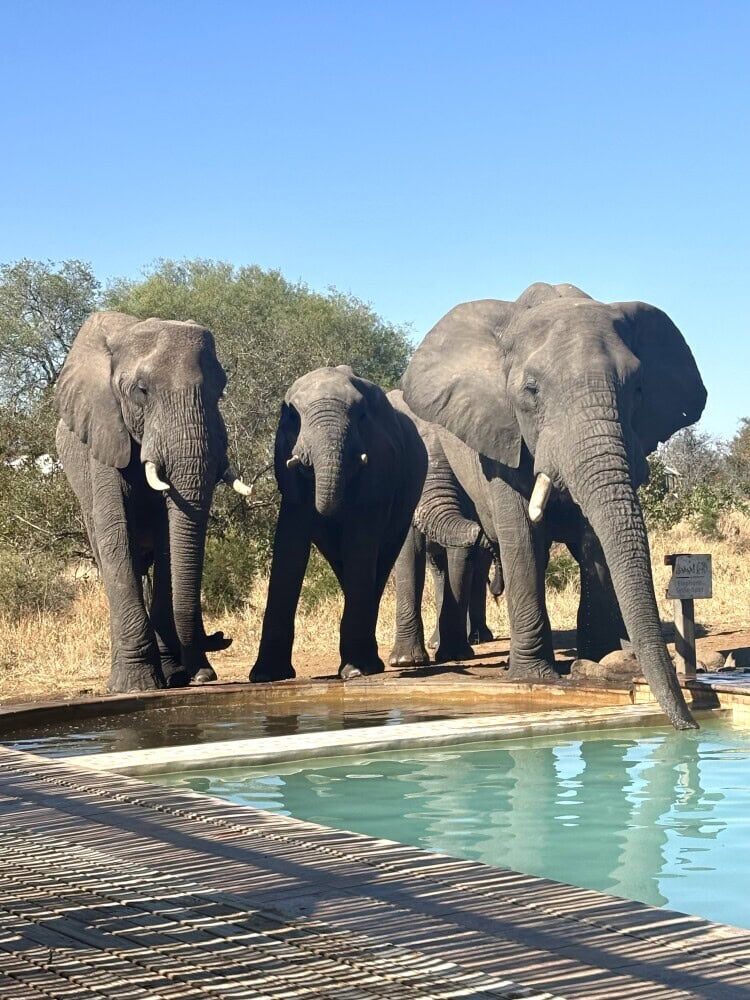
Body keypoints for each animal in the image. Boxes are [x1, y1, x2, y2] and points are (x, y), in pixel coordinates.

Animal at [55, 311, 250, 693]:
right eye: (141, 391)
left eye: (219, 390)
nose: (221, 636)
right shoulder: (103, 432)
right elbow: (116, 538)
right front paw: (136, 686)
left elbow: (168, 543)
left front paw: (176, 675)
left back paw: (194, 673)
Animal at [250, 366, 428, 682]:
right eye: (293, 416)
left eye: (361, 416)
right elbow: (290, 544)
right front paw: (267, 675)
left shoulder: (379, 462)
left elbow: (360, 540)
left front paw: (356, 671)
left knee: (379, 562)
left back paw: (367, 664)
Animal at [387, 389, 500, 667]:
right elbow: (409, 553)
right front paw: (406, 661)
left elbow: (460, 558)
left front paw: (456, 655)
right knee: (438, 569)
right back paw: (436, 643)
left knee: (475, 570)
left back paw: (477, 638)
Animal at [401, 283, 707, 730]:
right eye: (531, 390)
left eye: (637, 388)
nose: (690, 725)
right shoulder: (501, 436)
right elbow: (523, 539)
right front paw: (534, 678)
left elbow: (594, 542)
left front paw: (598, 661)